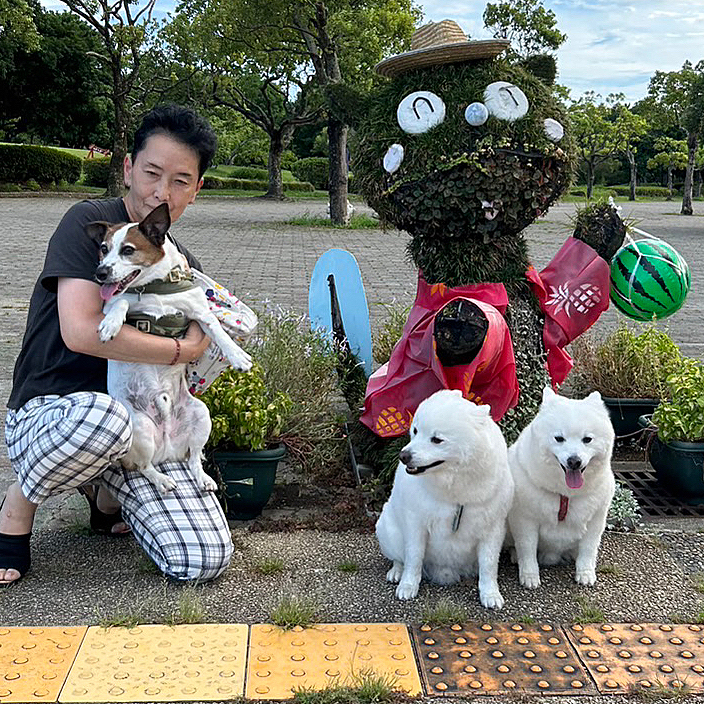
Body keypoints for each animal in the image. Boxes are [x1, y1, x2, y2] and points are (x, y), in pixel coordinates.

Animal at [376, 388, 516, 608]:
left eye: (436, 439)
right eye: (415, 431)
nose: (403, 456)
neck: (455, 494)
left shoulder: (492, 529)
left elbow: (488, 565)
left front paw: (490, 594)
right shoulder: (416, 525)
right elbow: (413, 558)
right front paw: (408, 587)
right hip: (388, 531)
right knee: (399, 558)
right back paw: (396, 572)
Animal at [506, 384, 616, 588]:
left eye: (587, 439)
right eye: (559, 438)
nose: (574, 461)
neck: (565, 494)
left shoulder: (596, 519)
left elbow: (588, 550)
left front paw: (585, 573)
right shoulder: (525, 519)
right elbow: (527, 549)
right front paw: (529, 576)